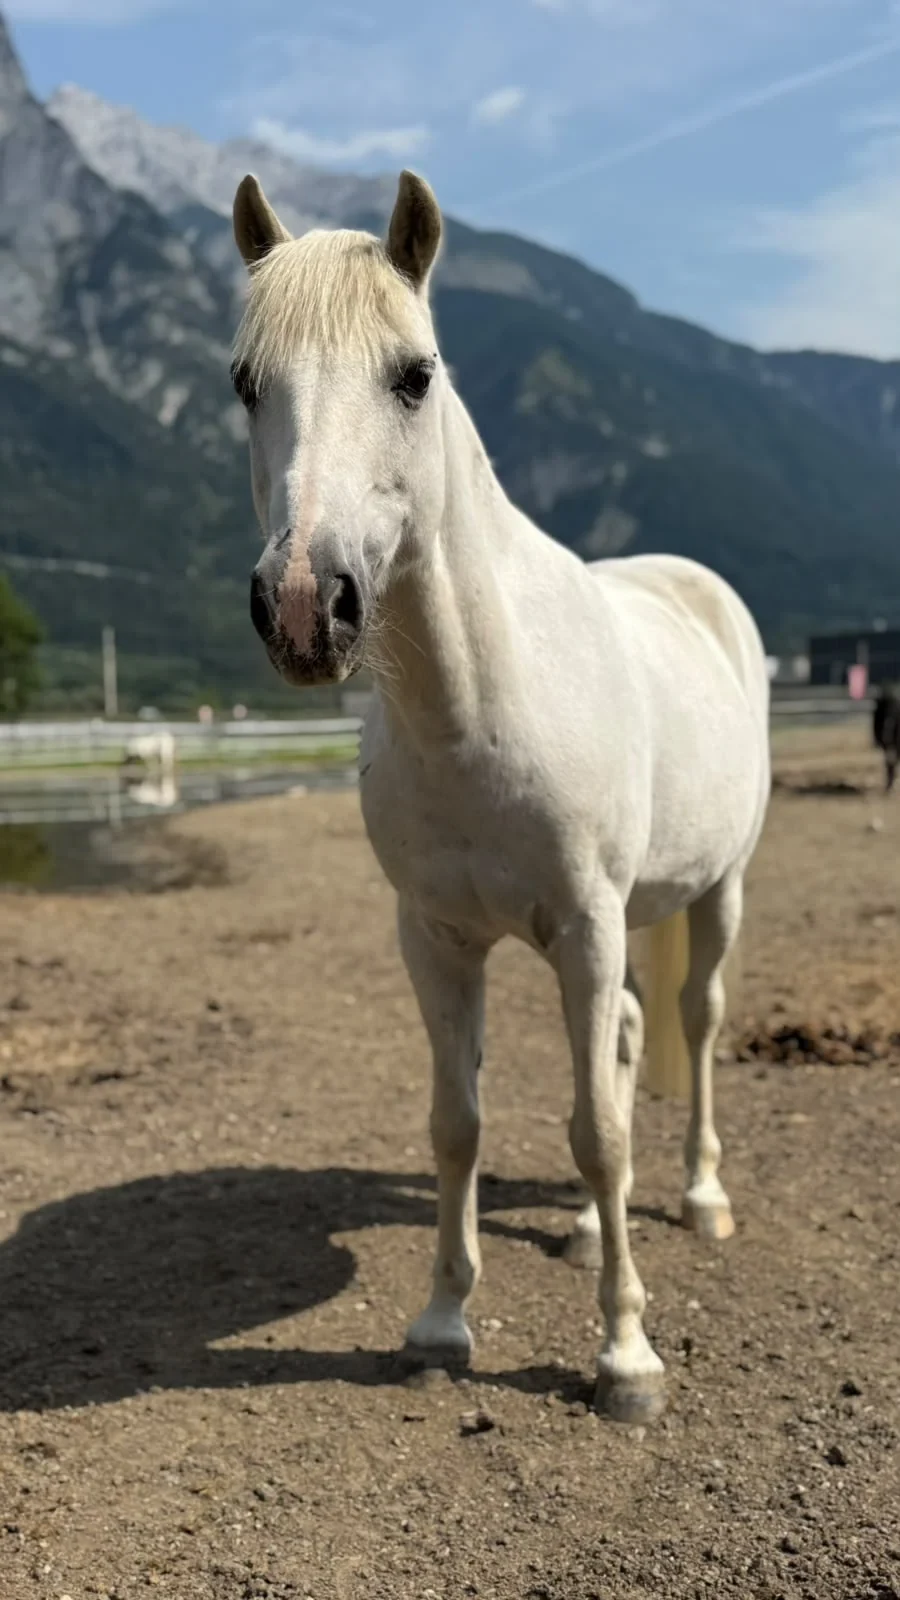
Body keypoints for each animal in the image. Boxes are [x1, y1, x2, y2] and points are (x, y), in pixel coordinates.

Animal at [230, 169, 771, 1422]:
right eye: (244, 383)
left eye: (414, 374)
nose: (305, 605)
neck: (484, 704)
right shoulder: (437, 937)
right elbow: (460, 1123)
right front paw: (440, 1322)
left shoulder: (585, 924)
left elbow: (603, 1134)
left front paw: (626, 1356)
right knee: (626, 1039)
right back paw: (582, 1232)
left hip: (710, 893)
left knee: (694, 1023)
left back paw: (702, 1197)